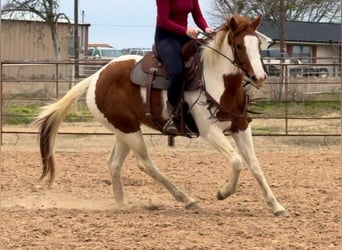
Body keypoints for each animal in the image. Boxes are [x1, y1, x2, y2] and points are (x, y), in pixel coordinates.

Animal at [34, 14, 288, 216]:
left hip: (122, 129)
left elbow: (254, 165)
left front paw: (276, 206)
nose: (260, 77)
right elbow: (236, 161)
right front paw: (223, 193)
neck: (219, 81)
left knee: (114, 163)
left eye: (258, 45)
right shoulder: (209, 131)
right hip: (129, 131)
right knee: (145, 163)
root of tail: (96, 76)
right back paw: (186, 199)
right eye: (239, 46)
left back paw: (122, 204)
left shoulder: (241, 127)